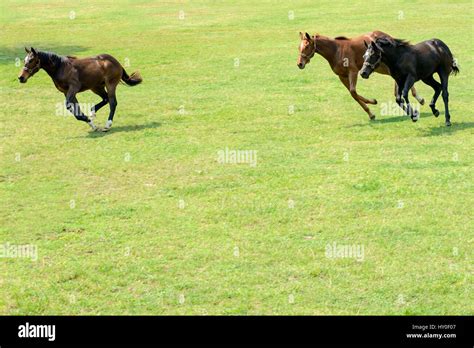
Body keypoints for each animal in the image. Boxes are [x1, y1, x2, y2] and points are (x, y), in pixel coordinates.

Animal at [296, 31, 426, 121]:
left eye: (306, 46)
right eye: (299, 47)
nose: (299, 64)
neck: (336, 51)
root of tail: (386, 36)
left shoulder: (353, 72)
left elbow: (353, 92)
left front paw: (372, 104)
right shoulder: (342, 76)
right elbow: (353, 94)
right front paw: (371, 112)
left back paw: (419, 98)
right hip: (380, 67)